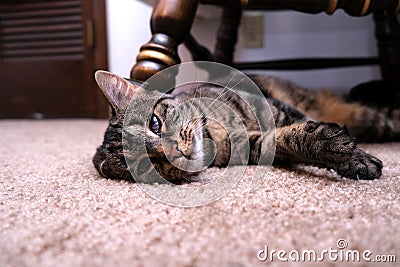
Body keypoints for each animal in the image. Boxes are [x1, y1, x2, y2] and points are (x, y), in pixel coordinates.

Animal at [92, 70, 398, 184]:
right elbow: (286, 139)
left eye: (155, 123)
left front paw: (355, 158)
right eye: (146, 165)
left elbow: (302, 125)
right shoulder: (255, 145)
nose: (175, 151)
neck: (214, 136)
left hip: (368, 118)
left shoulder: (278, 110)